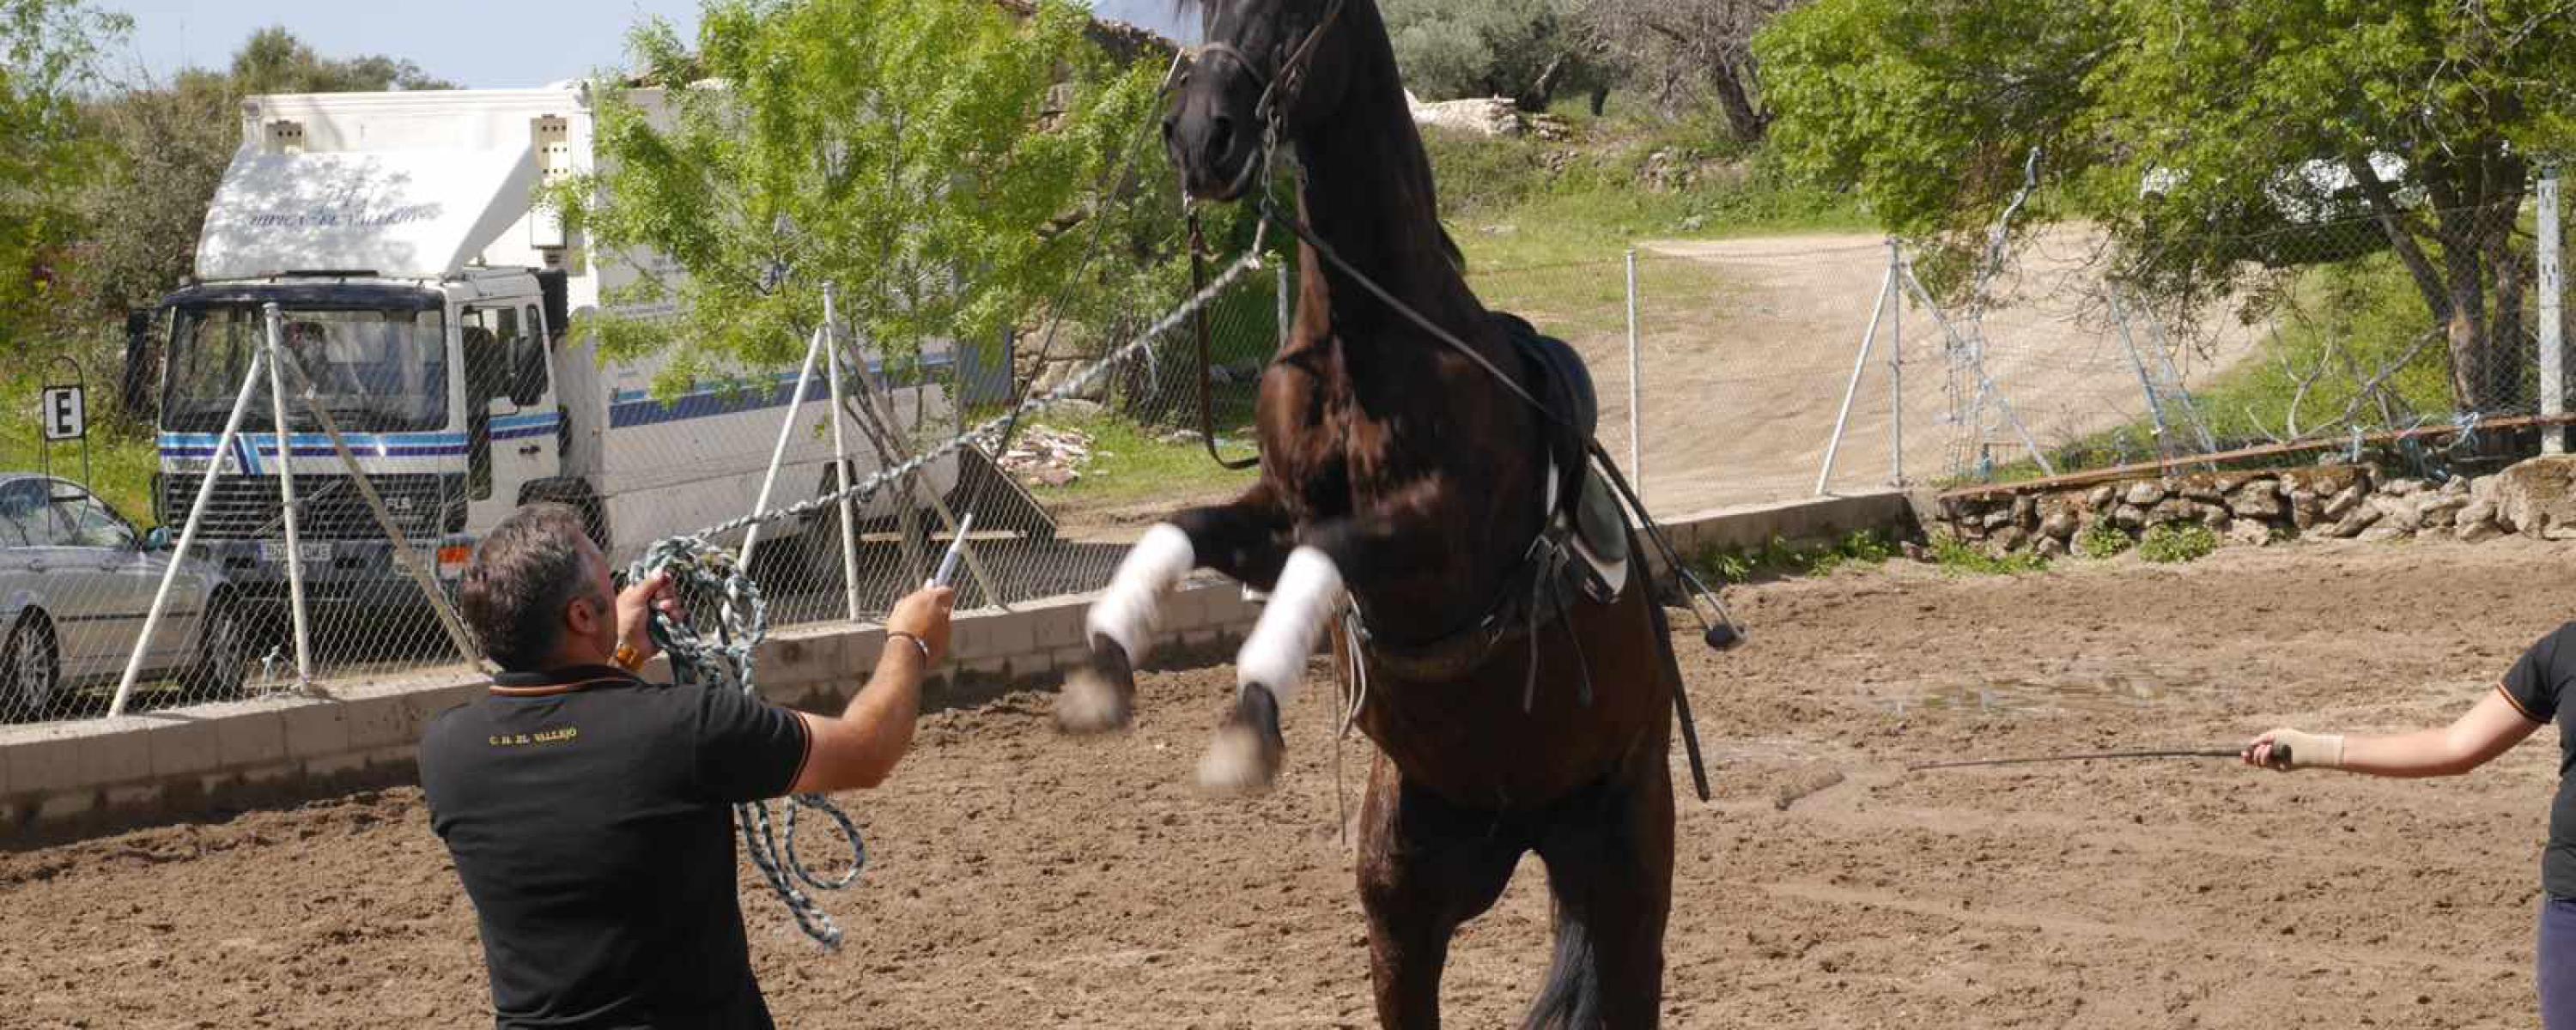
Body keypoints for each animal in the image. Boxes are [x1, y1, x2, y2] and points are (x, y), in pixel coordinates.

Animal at [1052, 0, 1700, 1026]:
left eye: (1297, 10)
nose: (1200, 136)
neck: (1364, 343)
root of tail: (1528, 820)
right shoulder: (1271, 514)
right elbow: (1180, 530)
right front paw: (1101, 672)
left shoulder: (1440, 543)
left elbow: (1325, 554)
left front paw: (1247, 726)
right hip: (1408, 905)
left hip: (1626, 881)